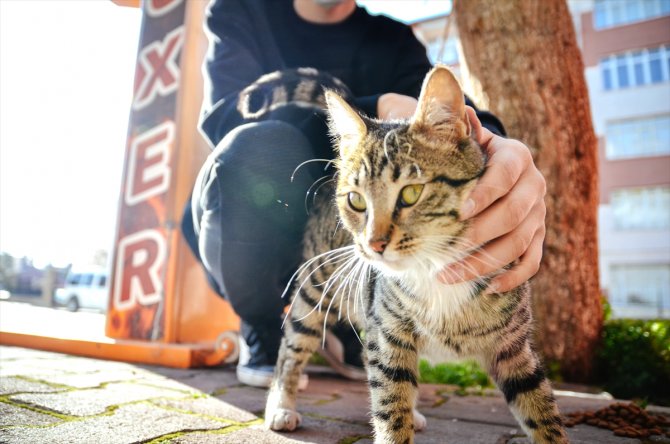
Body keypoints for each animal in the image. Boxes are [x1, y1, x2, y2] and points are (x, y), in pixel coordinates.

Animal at [262, 66, 568, 444]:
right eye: (356, 200)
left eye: (410, 194)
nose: (374, 243)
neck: (434, 267)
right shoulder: (388, 333)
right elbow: (390, 406)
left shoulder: (513, 347)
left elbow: (541, 409)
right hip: (315, 289)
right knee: (292, 347)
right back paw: (281, 405)